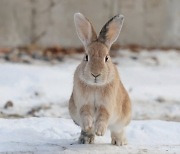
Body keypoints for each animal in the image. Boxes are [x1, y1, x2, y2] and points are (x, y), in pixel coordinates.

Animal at [68, 12, 131, 146]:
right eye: (86, 57)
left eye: (106, 58)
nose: (95, 74)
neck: (95, 86)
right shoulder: (83, 103)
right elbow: (85, 113)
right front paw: (88, 126)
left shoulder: (106, 105)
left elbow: (103, 116)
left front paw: (100, 132)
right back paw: (85, 139)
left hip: (122, 117)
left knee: (118, 129)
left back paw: (119, 142)